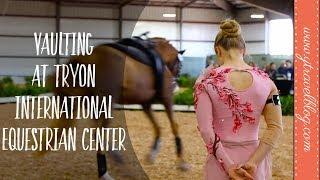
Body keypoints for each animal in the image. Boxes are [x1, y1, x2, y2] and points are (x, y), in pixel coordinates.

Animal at [46, 36, 189, 179]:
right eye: (180, 65)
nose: (175, 83)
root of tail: (83, 59)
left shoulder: (146, 104)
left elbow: (157, 126)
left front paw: (153, 153)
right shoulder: (167, 98)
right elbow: (174, 126)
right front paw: (182, 162)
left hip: (93, 105)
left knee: (96, 133)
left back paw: (110, 167)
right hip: (106, 104)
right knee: (98, 133)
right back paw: (111, 168)